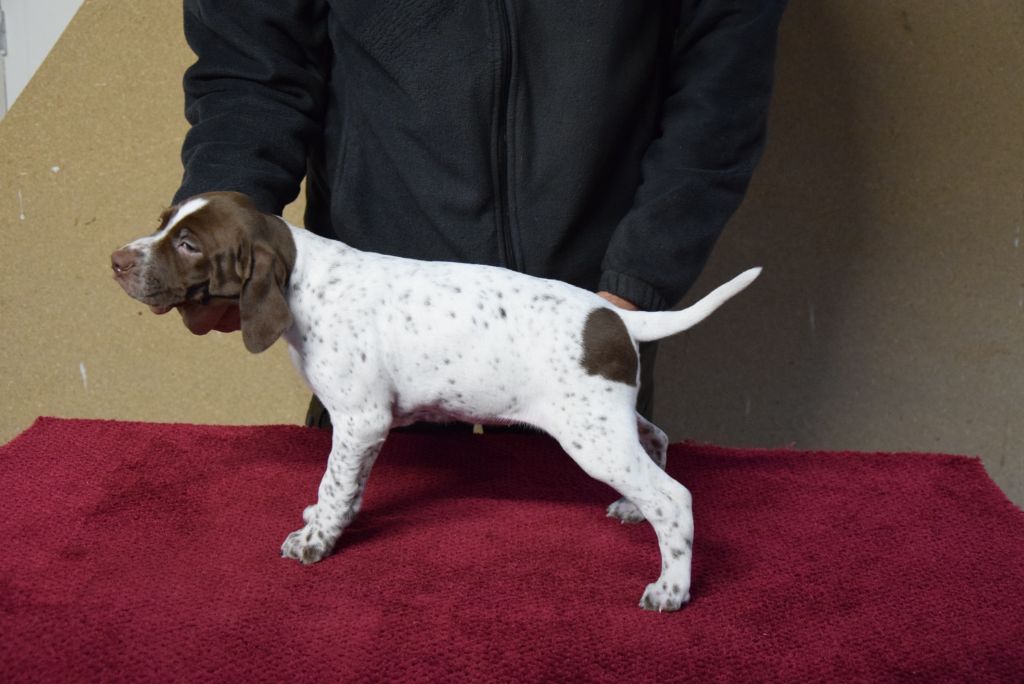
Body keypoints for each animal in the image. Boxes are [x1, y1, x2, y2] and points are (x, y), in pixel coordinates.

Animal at [111, 191, 760, 611]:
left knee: (674, 499)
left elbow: (334, 484)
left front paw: (318, 540)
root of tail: (615, 318)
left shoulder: (361, 421)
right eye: (164, 222)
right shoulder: (360, 427)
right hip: (605, 420)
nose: (116, 261)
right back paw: (631, 508)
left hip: (591, 436)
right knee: (656, 441)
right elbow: (342, 487)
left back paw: (672, 587)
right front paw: (324, 522)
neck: (303, 280)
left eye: (189, 244)